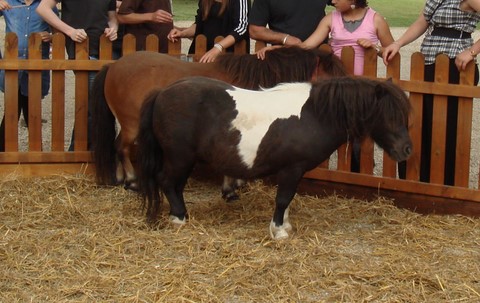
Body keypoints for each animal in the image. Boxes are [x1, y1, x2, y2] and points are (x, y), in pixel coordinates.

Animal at [136, 75, 412, 240]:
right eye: (388, 115)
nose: (407, 150)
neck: (313, 115)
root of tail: (163, 91)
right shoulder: (292, 169)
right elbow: (283, 199)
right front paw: (278, 231)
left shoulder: (294, 172)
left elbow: (288, 200)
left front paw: (285, 225)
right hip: (179, 157)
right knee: (167, 182)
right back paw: (179, 217)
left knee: (174, 185)